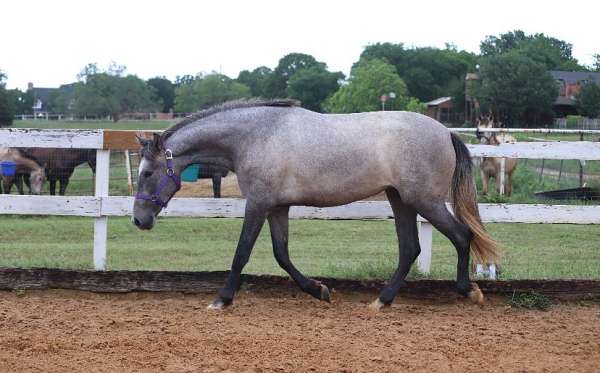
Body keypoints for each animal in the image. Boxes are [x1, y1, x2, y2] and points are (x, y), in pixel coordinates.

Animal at [134, 98, 500, 308]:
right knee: (411, 248)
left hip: (425, 201)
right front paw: (319, 290)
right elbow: (281, 254)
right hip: (402, 201)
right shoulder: (277, 207)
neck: (256, 136)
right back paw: (382, 301)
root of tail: (445, 132)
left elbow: (242, 253)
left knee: (462, 237)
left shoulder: (258, 204)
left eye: (148, 172)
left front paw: (222, 300)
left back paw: (469, 291)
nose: (139, 220)